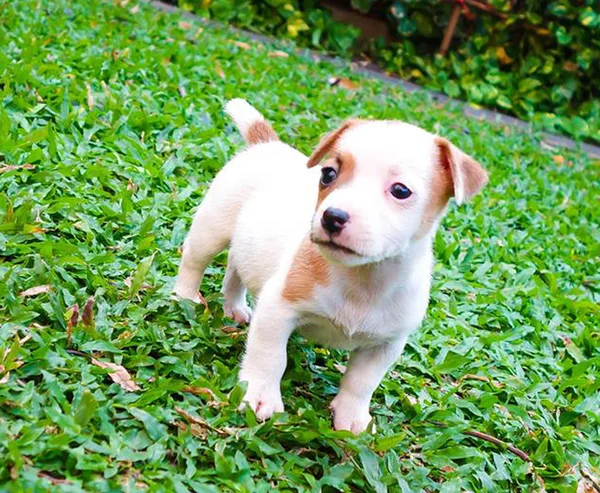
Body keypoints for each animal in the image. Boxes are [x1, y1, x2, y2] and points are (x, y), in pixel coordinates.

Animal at [173, 99, 488, 430]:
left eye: (401, 190)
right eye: (328, 174)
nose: (332, 216)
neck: (364, 279)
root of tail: (268, 144)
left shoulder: (386, 344)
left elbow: (361, 382)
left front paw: (351, 417)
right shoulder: (277, 309)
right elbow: (270, 357)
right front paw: (260, 396)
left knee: (235, 268)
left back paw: (233, 307)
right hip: (212, 228)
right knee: (194, 259)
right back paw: (185, 295)